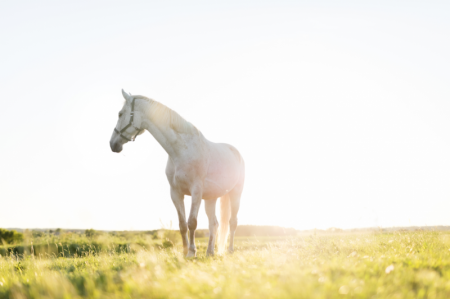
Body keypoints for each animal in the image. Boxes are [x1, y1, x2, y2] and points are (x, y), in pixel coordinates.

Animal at [110, 89, 246, 258]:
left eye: (120, 113)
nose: (113, 144)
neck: (181, 151)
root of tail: (236, 152)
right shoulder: (176, 193)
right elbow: (182, 224)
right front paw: (185, 252)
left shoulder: (196, 192)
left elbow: (192, 222)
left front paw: (192, 252)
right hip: (211, 198)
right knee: (214, 224)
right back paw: (209, 252)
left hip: (235, 193)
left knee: (232, 222)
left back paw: (230, 250)